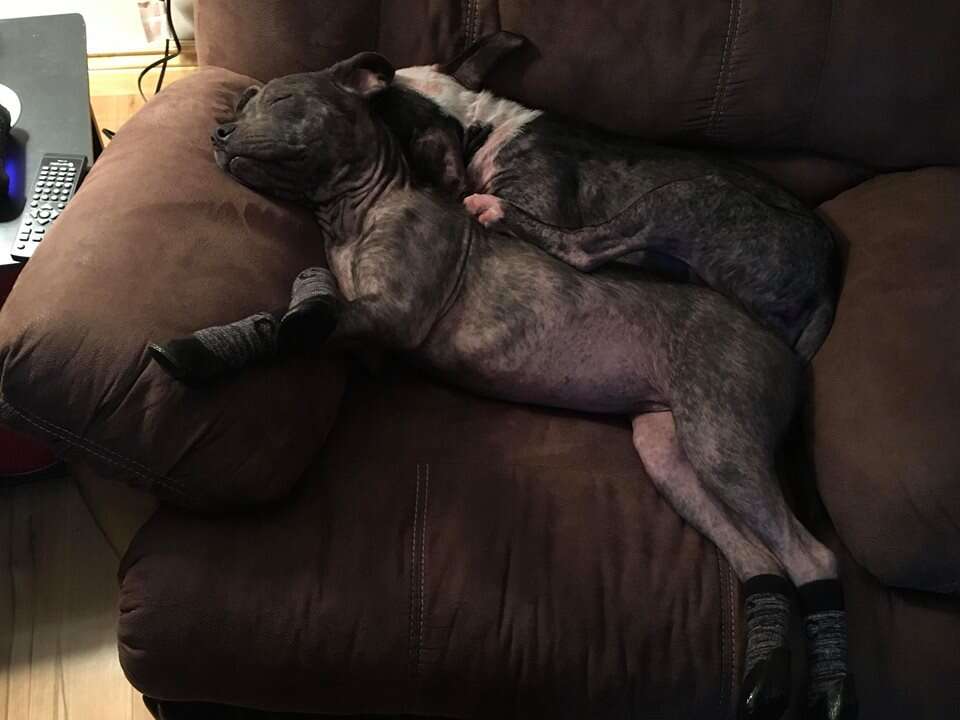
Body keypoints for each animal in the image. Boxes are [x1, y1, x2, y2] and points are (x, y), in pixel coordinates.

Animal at [394, 31, 836, 362]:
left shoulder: (539, 199)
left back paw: (492, 209)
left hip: (687, 194)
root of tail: (827, 282)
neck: (481, 126)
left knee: (584, 250)